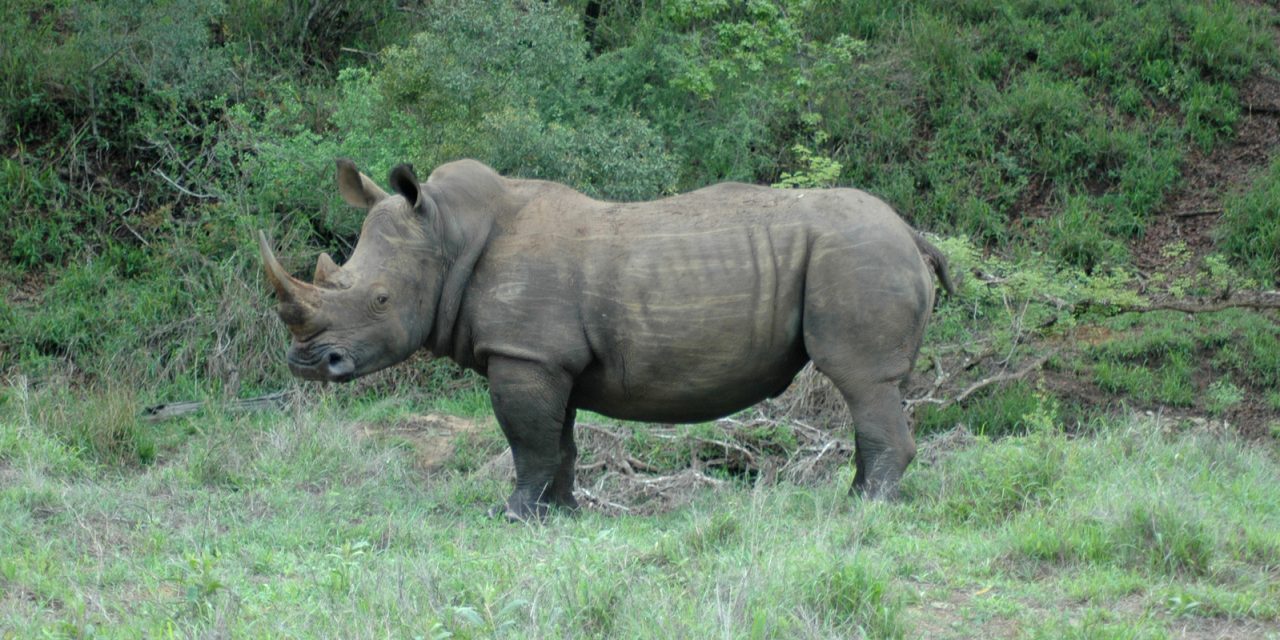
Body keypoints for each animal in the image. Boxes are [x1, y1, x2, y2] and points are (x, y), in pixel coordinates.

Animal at [260, 159, 954, 519]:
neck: (448, 235)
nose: (307, 363)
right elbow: (558, 442)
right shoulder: (547, 357)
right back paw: (860, 500)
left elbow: (529, 443)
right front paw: (561, 515)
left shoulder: (523, 354)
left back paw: (861, 509)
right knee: (869, 388)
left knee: (860, 379)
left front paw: (512, 516)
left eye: (379, 300)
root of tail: (910, 231)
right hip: (866, 252)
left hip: (859, 255)